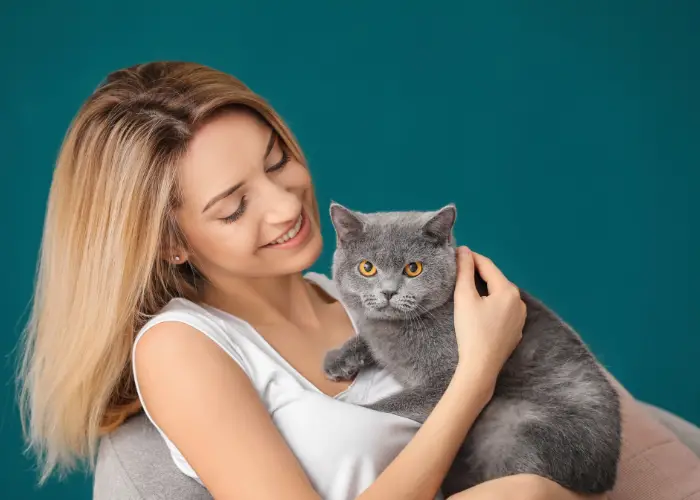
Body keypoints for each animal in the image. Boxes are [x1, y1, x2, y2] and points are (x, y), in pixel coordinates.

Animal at [324, 203, 624, 496]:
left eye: (413, 268)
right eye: (367, 268)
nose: (388, 292)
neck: (396, 328)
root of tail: (604, 478)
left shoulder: (447, 383)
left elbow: (387, 407)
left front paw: (347, 413)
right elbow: (368, 339)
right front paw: (338, 360)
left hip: (516, 432)